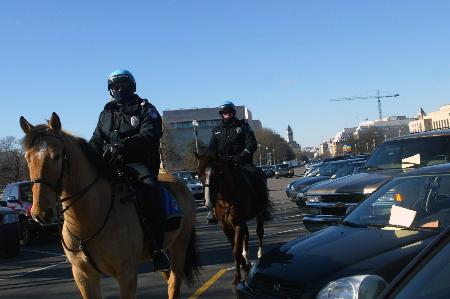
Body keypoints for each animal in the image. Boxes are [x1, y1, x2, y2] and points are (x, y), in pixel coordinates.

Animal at [19, 113, 199, 299]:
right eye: (27, 158)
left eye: (56, 156)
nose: (41, 213)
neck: (88, 223)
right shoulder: (83, 276)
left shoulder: (127, 275)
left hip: (180, 245)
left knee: (173, 284)